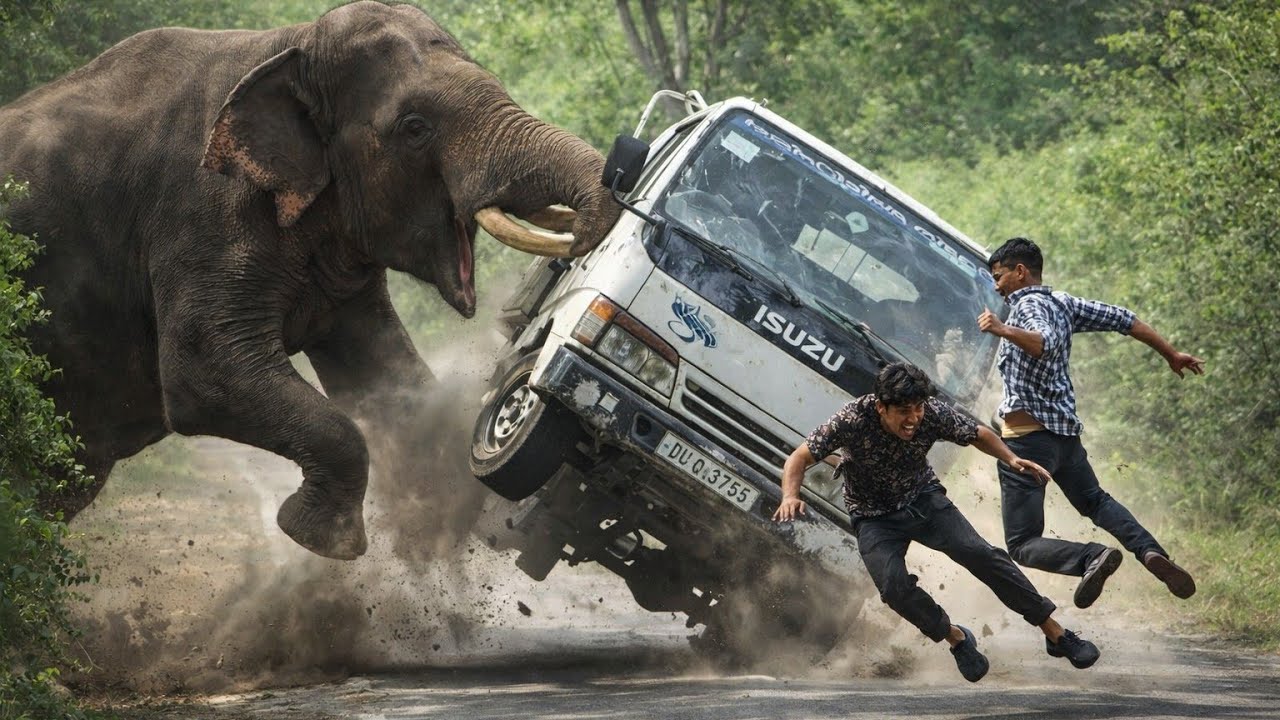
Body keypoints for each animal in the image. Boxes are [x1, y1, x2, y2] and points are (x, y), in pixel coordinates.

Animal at [0, 1, 621, 560]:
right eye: (415, 128)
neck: (287, 47)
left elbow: (384, 372)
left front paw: (436, 523)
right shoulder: (201, 210)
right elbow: (203, 373)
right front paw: (323, 540)